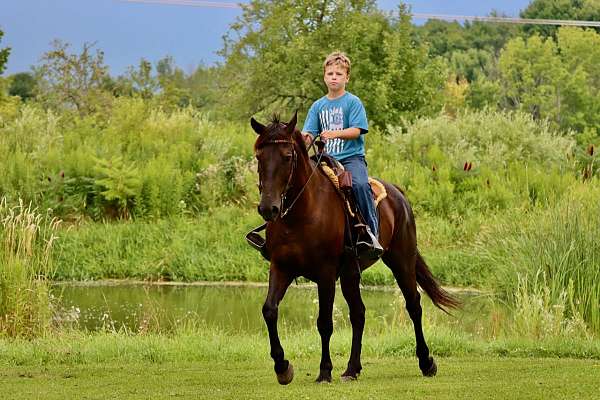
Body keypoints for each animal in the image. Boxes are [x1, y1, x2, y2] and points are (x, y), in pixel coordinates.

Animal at [251, 111, 458, 384]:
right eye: (259, 157)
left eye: (287, 156)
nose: (268, 208)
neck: (301, 214)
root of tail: (398, 194)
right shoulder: (281, 268)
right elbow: (269, 311)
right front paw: (282, 367)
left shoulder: (326, 274)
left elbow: (324, 323)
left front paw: (324, 371)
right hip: (351, 274)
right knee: (359, 314)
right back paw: (352, 369)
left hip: (401, 261)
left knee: (413, 305)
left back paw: (426, 362)